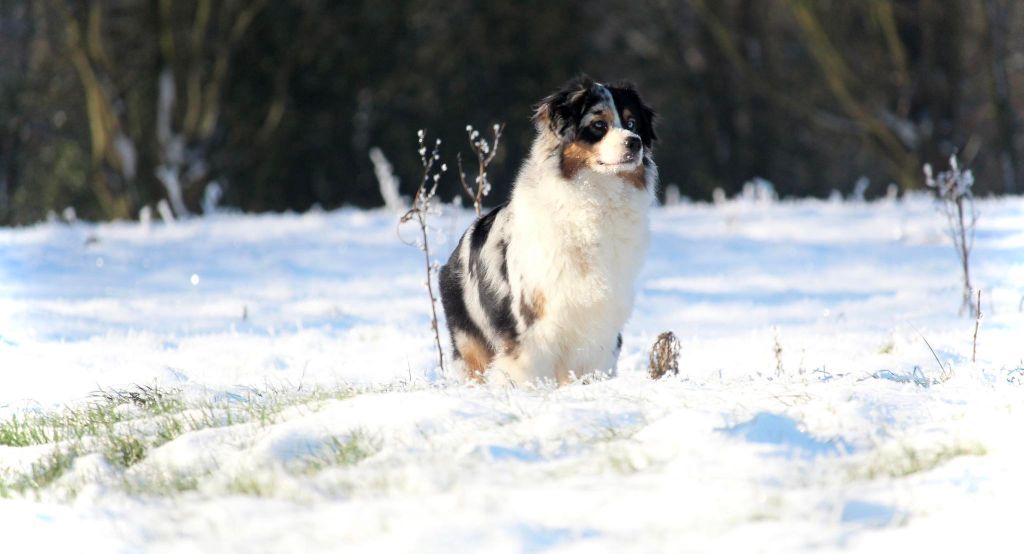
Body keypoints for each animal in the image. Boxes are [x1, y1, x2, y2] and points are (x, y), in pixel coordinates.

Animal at [440, 75, 655, 382]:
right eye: (598, 125)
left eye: (633, 123)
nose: (634, 143)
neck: (597, 196)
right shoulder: (531, 326)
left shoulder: (601, 324)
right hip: (471, 343)